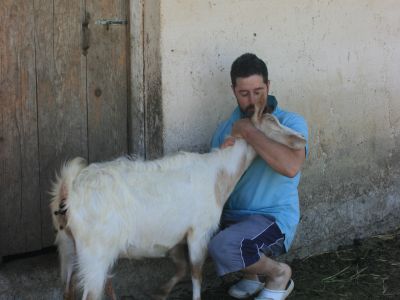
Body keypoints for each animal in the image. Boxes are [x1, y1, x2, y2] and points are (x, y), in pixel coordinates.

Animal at [50, 92, 306, 300]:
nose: (301, 140)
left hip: (68, 246)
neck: (219, 175)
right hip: (95, 251)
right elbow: (196, 272)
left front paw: (161, 292)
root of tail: (69, 188)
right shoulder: (199, 232)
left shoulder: (174, 238)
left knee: (69, 290)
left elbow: (182, 269)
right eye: (271, 122)